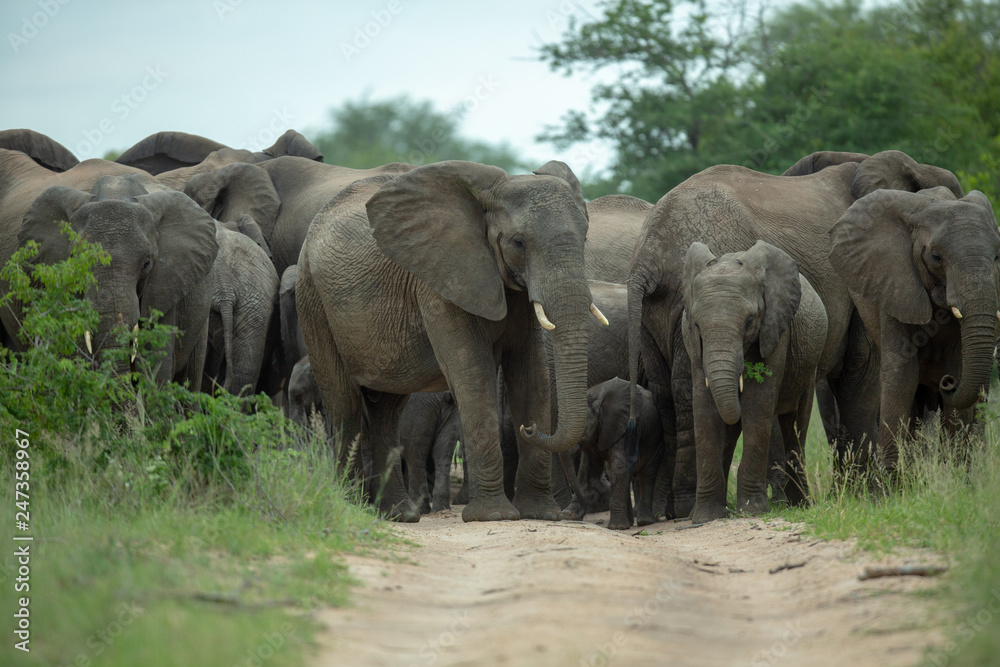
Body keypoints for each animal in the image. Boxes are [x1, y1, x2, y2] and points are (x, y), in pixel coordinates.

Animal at [296, 159, 597, 522]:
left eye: (585, 238)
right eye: (518, 242)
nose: (529, 429)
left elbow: (531, 373)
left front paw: (542, 514)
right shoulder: (439, 283)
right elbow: (472, 373)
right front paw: (493, 516)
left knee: (386, 411)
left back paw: (400, 515)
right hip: (312, 299)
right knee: (345, 405)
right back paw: (354, 508)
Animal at [559, 378, 663, 530]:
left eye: (582, 430)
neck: (596, 399)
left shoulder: (622, 428)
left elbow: (619, 466)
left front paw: (616, 527)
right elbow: (588, 468)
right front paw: (568, 515)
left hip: (654, 438)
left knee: (647, 474)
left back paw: (644, 521)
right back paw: (630, 522)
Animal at [681, 241, 828, 521]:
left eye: (750, 321)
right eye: (696, 324)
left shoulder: (776, 329)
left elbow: (757, 405)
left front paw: (752, 511)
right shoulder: (691, 342)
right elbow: (704, 408)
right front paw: (705, 517)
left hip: (809, 362)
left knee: (795, 425)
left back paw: (802, 505)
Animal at [829, 186, 1000, 472]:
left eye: (998, 257)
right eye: (936, 257)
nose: (947, 382)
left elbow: (959, 367)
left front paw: (956, 473)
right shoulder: (895, 285)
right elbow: (902, 376)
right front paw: (890, 479)